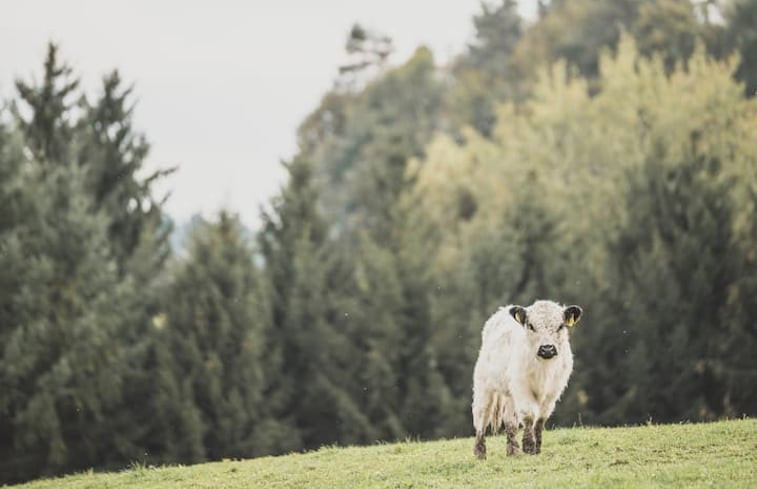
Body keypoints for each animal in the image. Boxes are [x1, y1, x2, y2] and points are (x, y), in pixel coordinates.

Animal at [470, 298, 580, 458]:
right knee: (481, 415)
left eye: (560, 326)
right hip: (484, 385)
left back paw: (513, 451)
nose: (547, 349)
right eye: (531, 326)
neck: (544, 370)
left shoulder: (553, 392)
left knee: (509, 419)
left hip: (510, 392)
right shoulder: (522, 387)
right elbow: (529, 415)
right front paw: (528, 447)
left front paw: (537, 448)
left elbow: (540, 419)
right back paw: (480, 453)